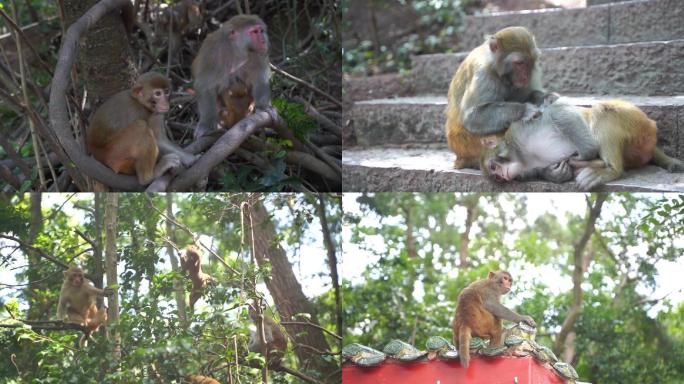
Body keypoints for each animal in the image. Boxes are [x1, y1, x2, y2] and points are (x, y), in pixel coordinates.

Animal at [444, 27, 568, 183]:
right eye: (519, 63)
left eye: (530, 61)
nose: (526, 77)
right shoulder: (483, 74)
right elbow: (473, 116)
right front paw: (525, 110)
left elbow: (528, 94)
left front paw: (548, 97)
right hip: (466, 144)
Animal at [480, 98, 684, 190]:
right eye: (496, 177)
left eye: (494, 168)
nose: (502, 177)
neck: (522, 156)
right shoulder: (524, 170)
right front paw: (556, 174)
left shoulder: (519, 131)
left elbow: (557, 109)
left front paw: (587, 153)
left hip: (636, 121)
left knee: (602, 110)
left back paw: (608, 170)